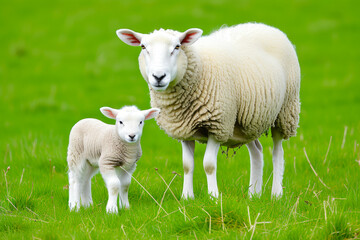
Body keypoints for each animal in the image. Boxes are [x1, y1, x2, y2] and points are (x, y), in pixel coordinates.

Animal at [116, 22, 300, 199]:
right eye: (143, 47)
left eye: (177, 46)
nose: (159, 77)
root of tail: (266, 26)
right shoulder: (184, 129)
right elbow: (187, 165)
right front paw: (187, 197)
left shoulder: (218, 126)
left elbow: (209, 165)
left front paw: (213, 196)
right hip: (248, 122)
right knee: (257, 152)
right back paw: (254, 194)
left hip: (285, 112)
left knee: (277, 153)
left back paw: (276, 194)